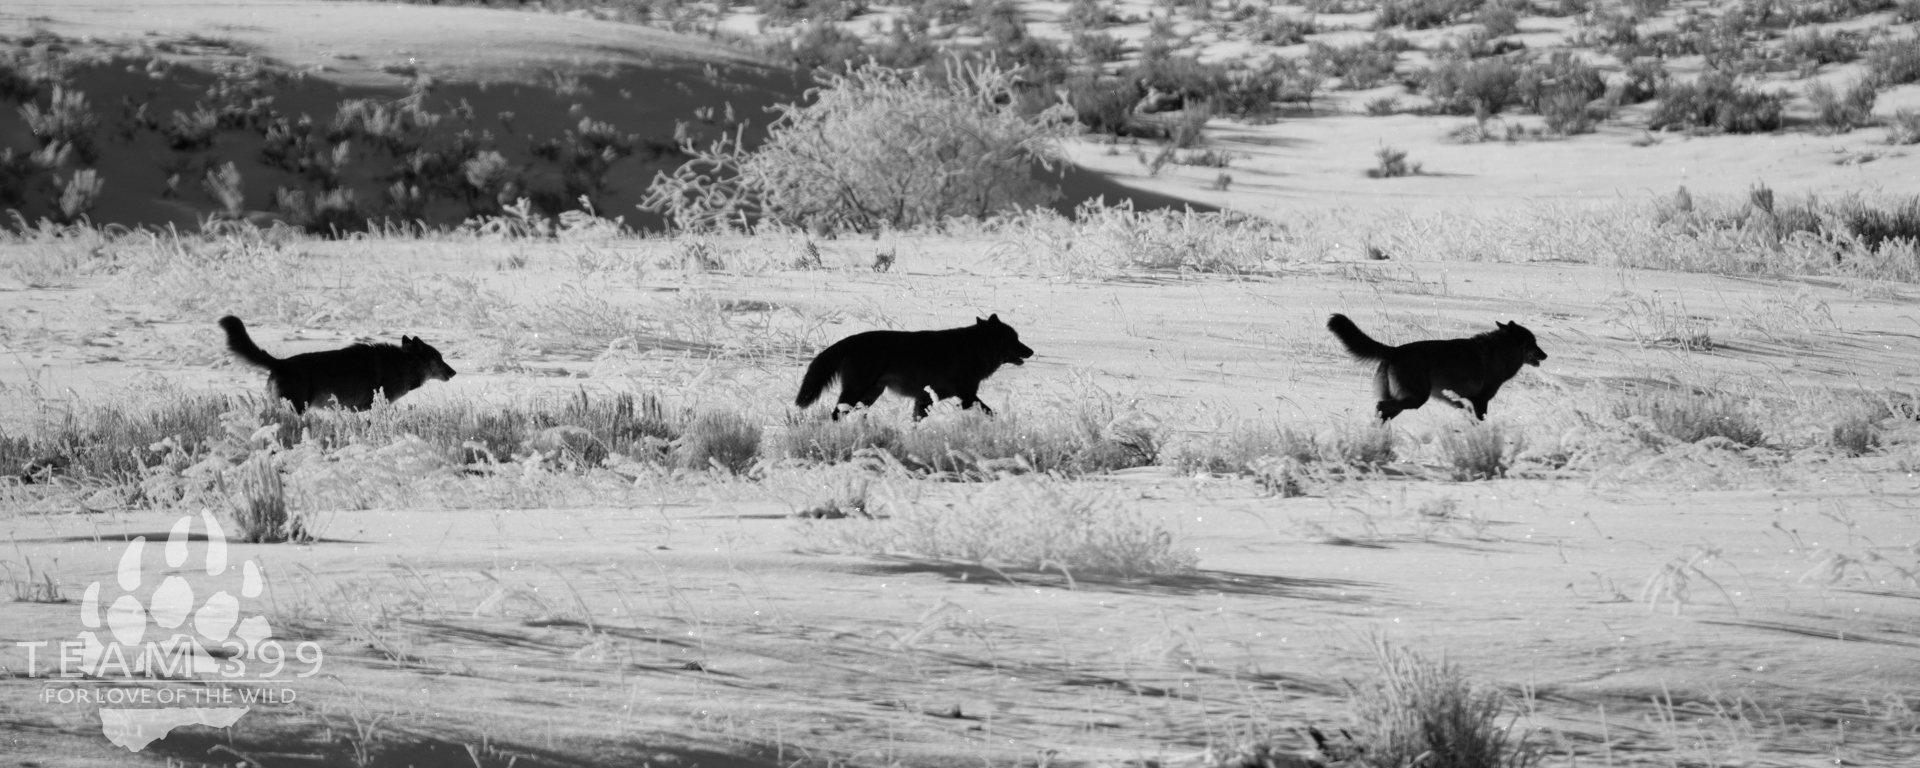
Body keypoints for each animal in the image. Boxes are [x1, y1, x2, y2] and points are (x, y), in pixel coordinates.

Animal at [795, 314, 1035, 421]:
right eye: (1014, 339)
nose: (1031, 351)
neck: (975, 349)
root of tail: (849, 341)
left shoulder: (924, 399)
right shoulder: (966, 396)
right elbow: (991, 411)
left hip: (869, 396)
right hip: (857, 392)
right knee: (835, 413)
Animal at [1325, 313, 1546, 422]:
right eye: (1534, 343)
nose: (1546, 355)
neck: (1501, 351)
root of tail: (1394, 351)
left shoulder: (1463, 402)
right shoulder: (1480, 401)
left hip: (1407, 400)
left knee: (1383, 412)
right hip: (1416, 399)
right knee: (1380, 406)